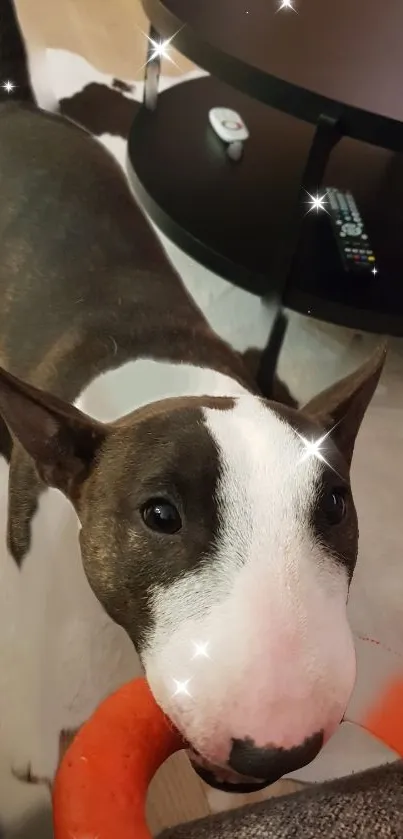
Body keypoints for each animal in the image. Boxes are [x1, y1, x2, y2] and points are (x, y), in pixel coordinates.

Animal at [0, 101, 386, 796]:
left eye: (335, 506)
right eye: (160, 515)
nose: (279, 748)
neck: (171, 381)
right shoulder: (27, 538)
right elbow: (28, 641)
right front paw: (31, 749)